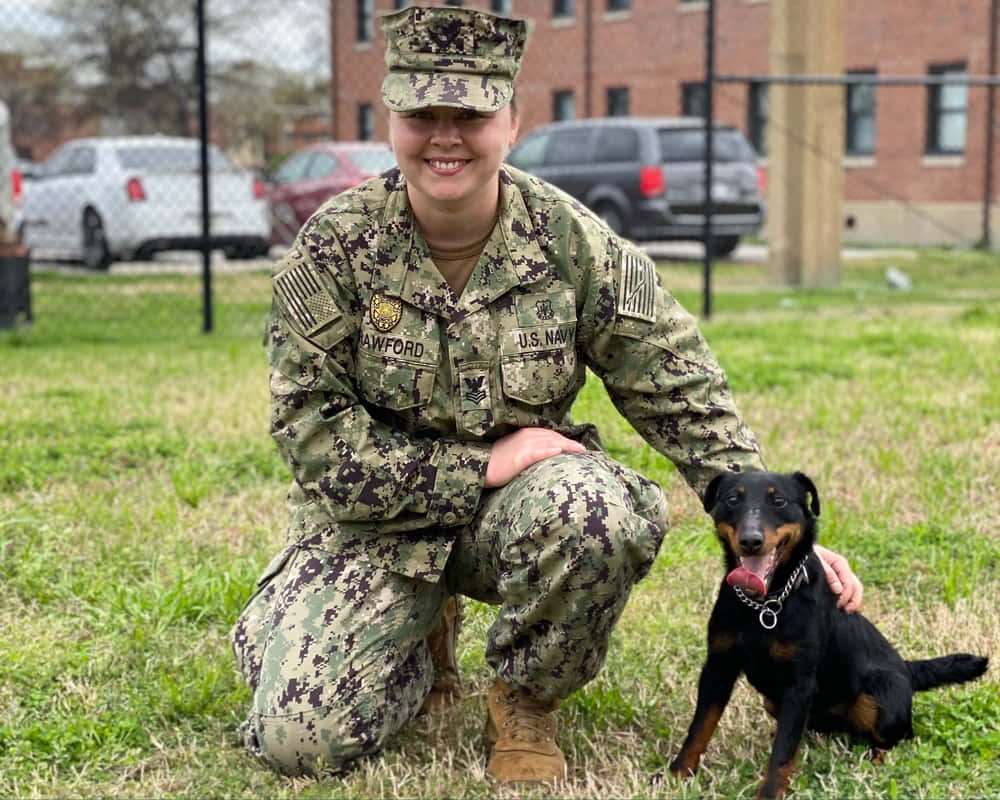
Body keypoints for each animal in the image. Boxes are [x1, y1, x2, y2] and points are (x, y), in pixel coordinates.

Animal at [668, 472, 988, 796]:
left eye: (778, 500)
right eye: (732, 499)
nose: (751, 541)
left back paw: (876, 758)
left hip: (881, 699)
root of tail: (906, 668)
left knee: (899, 734)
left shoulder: (799, 684)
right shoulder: (718, 667)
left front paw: (768, 793)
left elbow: (782, 753)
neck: (765, 605)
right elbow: (700, 728)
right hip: (776, 701)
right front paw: (677, 775)